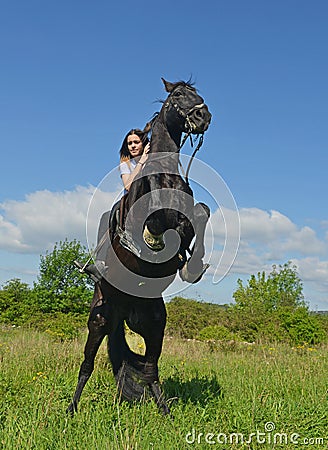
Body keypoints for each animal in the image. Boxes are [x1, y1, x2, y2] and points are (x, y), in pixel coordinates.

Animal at [68, 78, 213, 414]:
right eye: (178, 95)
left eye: (197, 94)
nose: (204, 117)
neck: (165, 175)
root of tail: (123, 308)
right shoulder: (151, 220)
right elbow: (161, 224)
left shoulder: (192, 213)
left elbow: (200, 212)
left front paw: (192, 266)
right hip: (99, 321)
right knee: (87, 366)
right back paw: (70, 410)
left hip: (154, 325)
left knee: (150, 370)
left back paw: (165, 413)